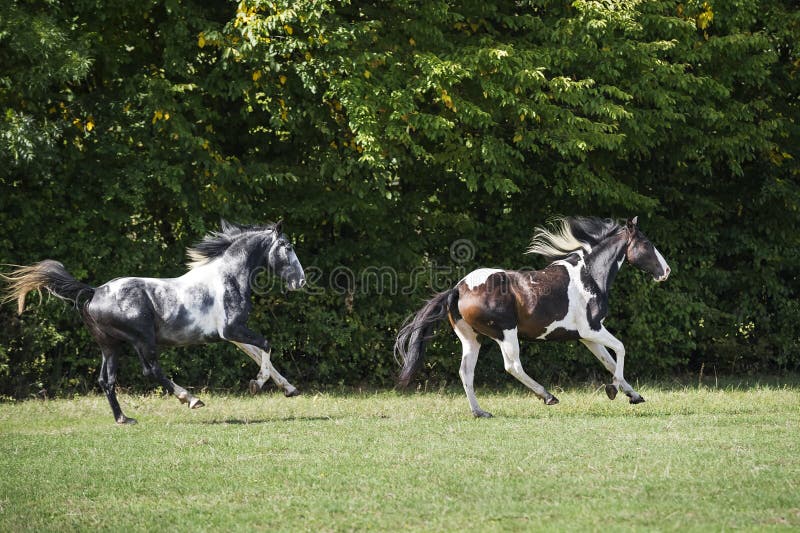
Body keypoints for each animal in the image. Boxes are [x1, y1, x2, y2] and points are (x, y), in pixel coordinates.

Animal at [1, 220, 306, 424]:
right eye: (288, 247)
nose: (301, 281)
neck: (227, 277)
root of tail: (95, 292)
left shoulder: (231, 335)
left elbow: (257, 353)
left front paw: (289, 389)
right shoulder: (232, 329)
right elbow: (265, 345)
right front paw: (257, 384)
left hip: (110, 345)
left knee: (106, 379)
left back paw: (124, 419)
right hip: (141, 339)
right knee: (151, 370)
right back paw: (191, 399)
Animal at [395, 216, 670, 418]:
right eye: (646, 244)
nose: (666, 271)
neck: (590, 275)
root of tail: (459, 288)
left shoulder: (587, 337)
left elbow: (610, 362)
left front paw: (633, 395)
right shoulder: (592, 329)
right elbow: (621, 349)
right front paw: (613, 389)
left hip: (471, 339)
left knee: (466, 371)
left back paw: (480, 412)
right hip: (506, 332)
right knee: (512, 366)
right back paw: (547, 396)